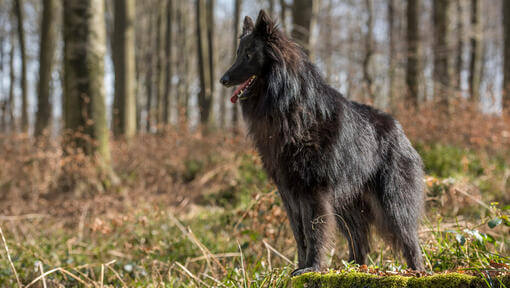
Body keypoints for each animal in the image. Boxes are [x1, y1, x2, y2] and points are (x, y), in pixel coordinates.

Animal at [221, 10, 424, 276]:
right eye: (237, 53)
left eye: (248, 54)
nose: (223, 79)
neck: (289, 109)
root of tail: (401, 132)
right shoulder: (290, 193)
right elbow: (300, 234)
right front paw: (301, 266)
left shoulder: (314, 192)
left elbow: (314, 232)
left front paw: (313, 267)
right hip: (347, 206)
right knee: (360, 243)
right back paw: (355, 269)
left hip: (391, 204)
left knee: (409, 239)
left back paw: (418, 272)